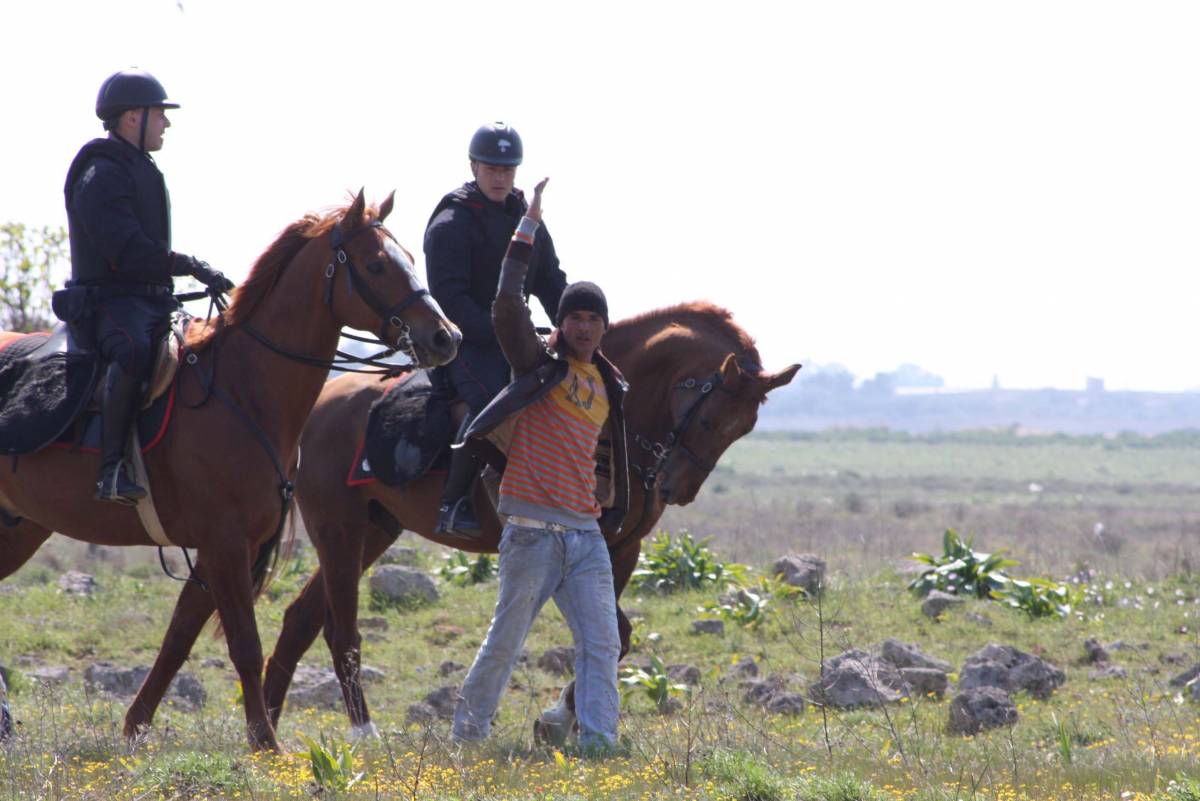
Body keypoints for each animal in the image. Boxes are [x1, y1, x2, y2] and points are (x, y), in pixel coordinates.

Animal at [0, 190, 458, 748]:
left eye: (410, 259)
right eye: (376, 264)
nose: (445, 337)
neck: (242, 389)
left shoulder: (215, 551)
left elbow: (178, 639)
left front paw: (135, 730)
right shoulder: (225, 545)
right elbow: (244, 644)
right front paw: (266, 743)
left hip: (18, 528)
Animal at [262, 302, 796, 738]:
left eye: (743, 429)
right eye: (709, 420)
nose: (675, 489)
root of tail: (318, 405)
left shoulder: (623, 550)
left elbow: (614, 636)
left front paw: (561, 717)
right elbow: (609, 633)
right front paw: (558, 717)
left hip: (373, 531)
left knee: (301, 618)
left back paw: (266, 724)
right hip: (338, 531)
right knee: (339, 630)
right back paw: (356, 731)